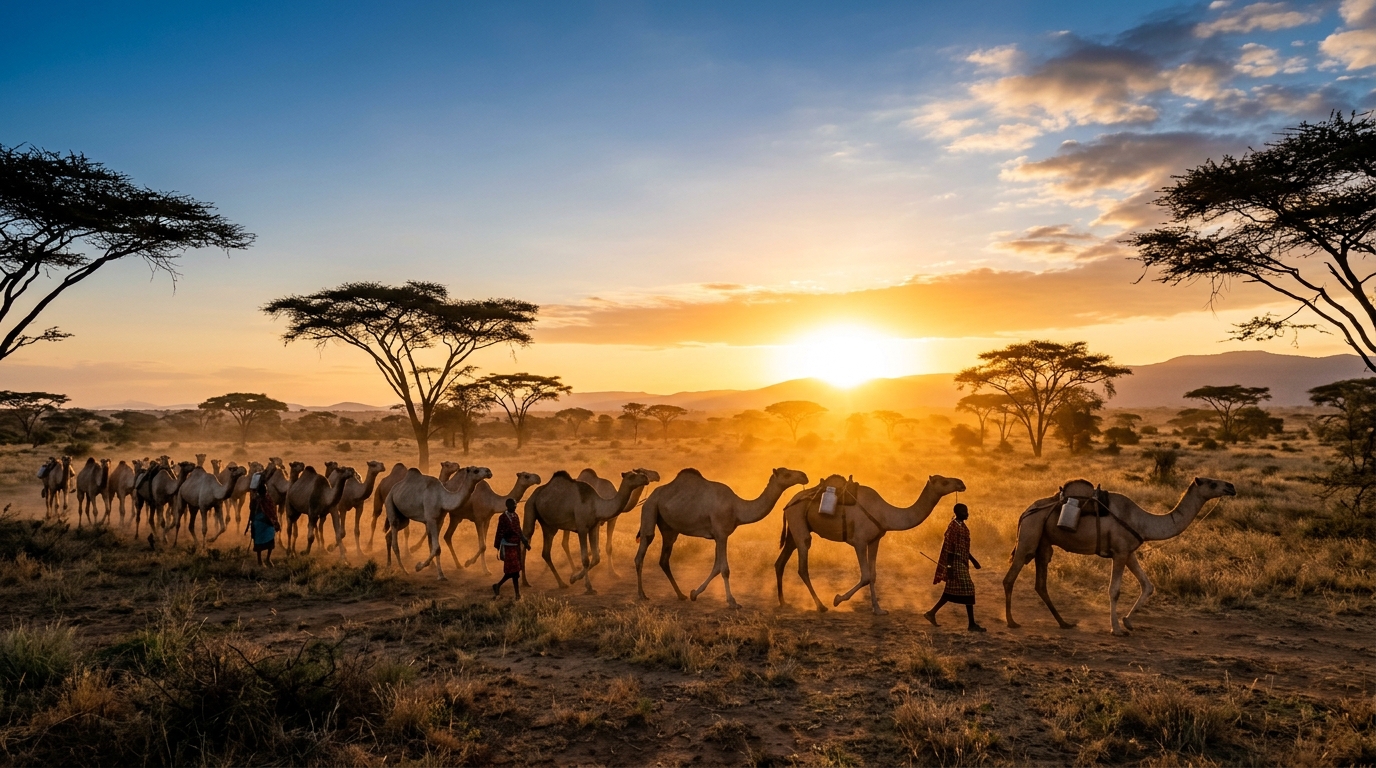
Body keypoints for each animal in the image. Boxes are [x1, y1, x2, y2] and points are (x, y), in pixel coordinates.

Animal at [634, 467, 809, 608]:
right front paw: (732, 602)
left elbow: (716, 567)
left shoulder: (718, 536)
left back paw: (681, 595)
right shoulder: (721, 533)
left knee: (664, 559)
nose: (804, 475)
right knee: (643, 549)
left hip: (670, 529)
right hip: (650, 508)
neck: (737, 508)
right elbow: (724, 569)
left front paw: (694, 593)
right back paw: (642, 595)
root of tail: (650, 496)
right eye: (787, 474)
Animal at [775, 473, 967, 615]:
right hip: (798, 520)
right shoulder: (859, 541)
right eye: (944, 481)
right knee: (802, 564)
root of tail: (788, 504)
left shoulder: (875, 540)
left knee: (781, 562)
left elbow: (873, 575)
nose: (961, 482)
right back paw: (821, 606)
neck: (884, 513)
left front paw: (878, 610)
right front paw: (838, 599)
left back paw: (784, 602)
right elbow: (866, 576)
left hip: (793, 531)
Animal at [1004, 477, 1237, 636]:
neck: (1142, 522)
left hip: (1043, 543)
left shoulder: (1129, 552)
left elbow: (1148, 585)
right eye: (1212, 483)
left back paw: (1064, 623)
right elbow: (1114, 590)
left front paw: (1128, 622)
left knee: (1041, 584)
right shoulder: (1119, 552)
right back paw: (1012, 621)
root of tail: (1025, 512)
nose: (1231, 487)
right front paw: (1116, 629)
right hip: (1029, 536)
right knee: (1010, 578)